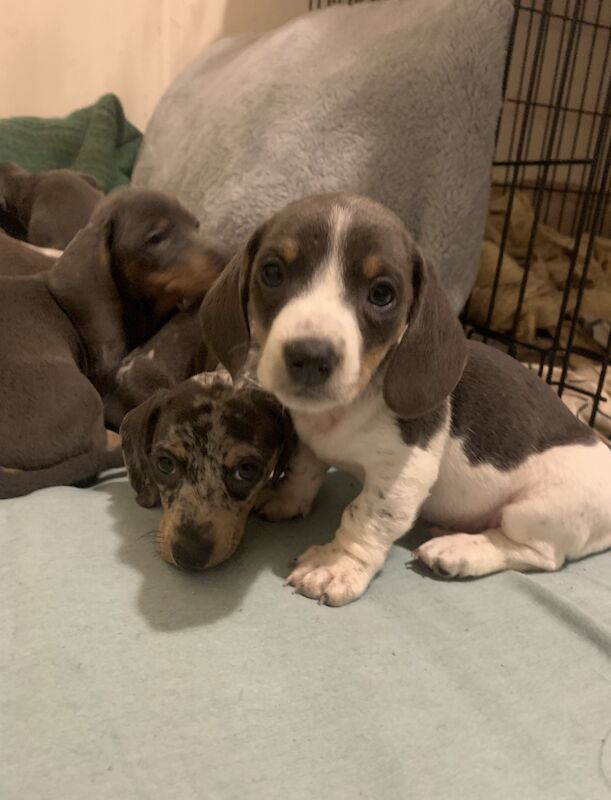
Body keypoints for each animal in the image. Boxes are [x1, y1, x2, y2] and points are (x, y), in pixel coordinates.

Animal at [201, 192, 611, 608]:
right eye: (272, 272)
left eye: (382, 294)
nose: (311, 356)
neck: (345, 407)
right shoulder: (308, 442)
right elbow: (303, 471)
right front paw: (286, 498)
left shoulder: (404, 471)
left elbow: (364, 515)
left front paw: (336, 565)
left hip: (537, 510)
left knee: (536, 554)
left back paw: (459, 550)